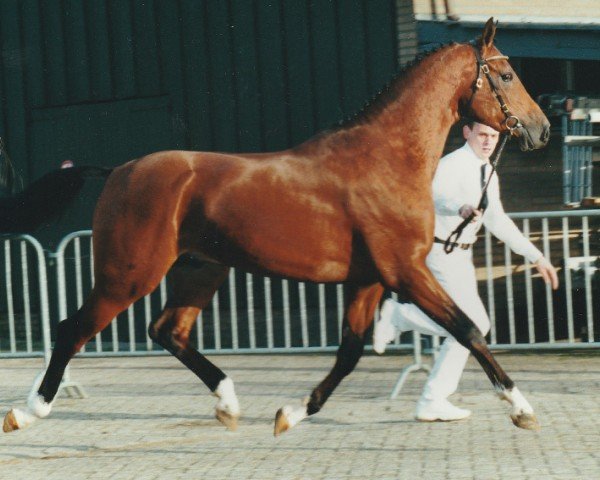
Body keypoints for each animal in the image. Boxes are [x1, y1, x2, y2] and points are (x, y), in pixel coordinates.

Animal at [3, 19, 548, 436]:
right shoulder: (405, 271)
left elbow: (350, 352)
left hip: (201, 270)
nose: (541, 129)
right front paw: (522, 409)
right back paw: (29, 411)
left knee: (168, 331)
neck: (387, 157)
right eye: (505, 73)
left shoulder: (369, 279)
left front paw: (290, 414)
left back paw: (228, 404)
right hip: (128, 275)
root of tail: (119, 169)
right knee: (72, 330)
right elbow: (468, 329)